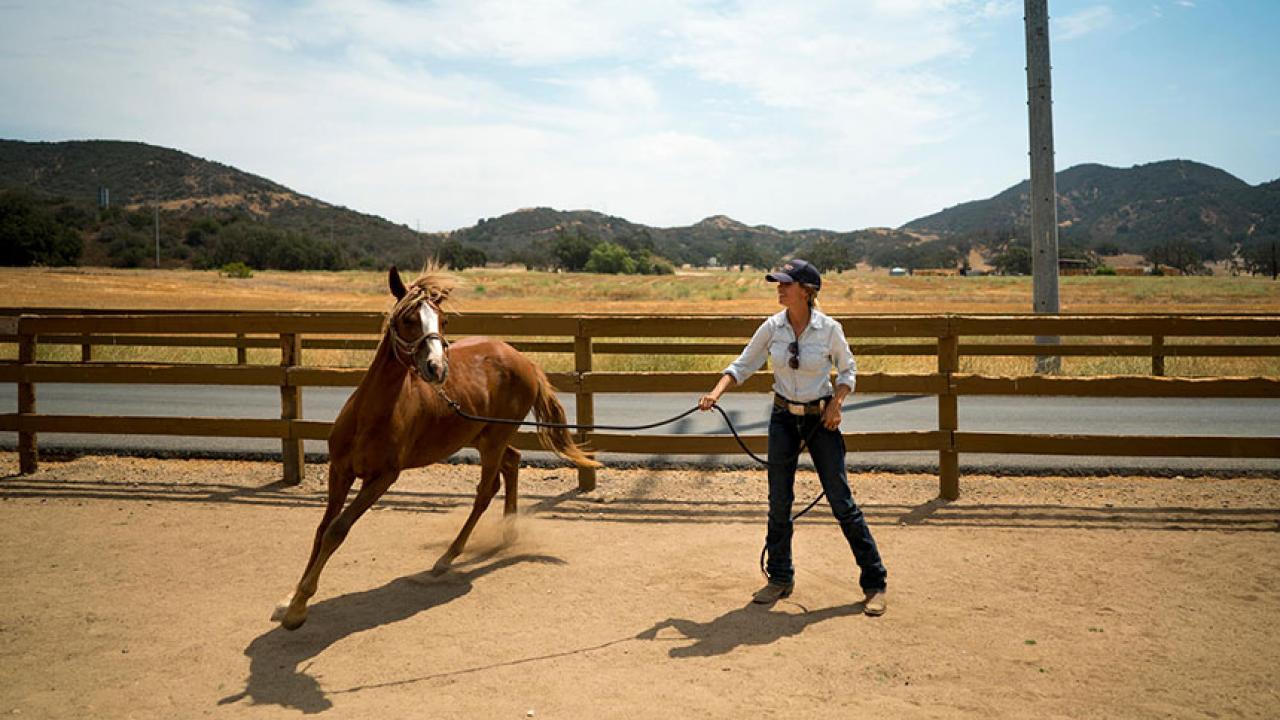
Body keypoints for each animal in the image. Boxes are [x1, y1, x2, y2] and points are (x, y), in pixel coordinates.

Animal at [274, 265, 600, 630]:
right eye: (408, 319)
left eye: (442, 321)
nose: (437, 368)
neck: (369, 415)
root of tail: (524, 362)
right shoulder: (340, 470)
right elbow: (322, 529)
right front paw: (290, 599)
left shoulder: (382, 478)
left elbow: (337, 530)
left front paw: (298, 608)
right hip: (481, 435)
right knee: (512, 463)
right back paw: (507, 532)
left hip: (493, 440)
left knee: (486, 491)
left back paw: (448, 557)